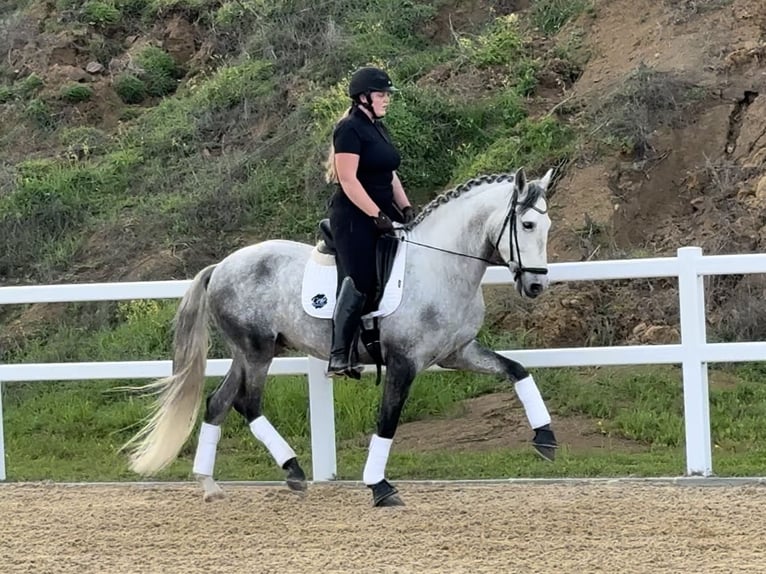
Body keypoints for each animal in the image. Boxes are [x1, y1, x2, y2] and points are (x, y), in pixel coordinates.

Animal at [124, 167, 558, 507]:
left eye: (548, 227)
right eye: (528, 225)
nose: (536, 286)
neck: (439, 266)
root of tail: (222, 266)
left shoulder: (458, 353)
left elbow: (517, 370)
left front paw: (546, 438)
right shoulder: (403, 362)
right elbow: (388, 420)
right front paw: (379, 486)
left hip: (248, 351)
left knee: (218, 401)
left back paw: (211, 484)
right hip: (257, 351)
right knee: (247, 402)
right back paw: (293, 469)